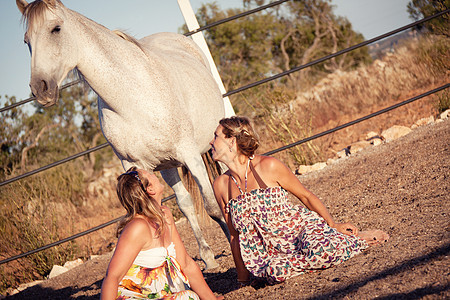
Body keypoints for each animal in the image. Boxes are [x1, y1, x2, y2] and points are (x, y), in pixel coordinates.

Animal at [16, 0, 230, 268]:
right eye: (26, 40)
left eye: (55, 29)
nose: (40, 88)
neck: (133, 98)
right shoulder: (135, 165)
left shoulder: (190, 155)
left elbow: (213, 206)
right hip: (167, 166)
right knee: (186, 203)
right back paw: (208, 256)